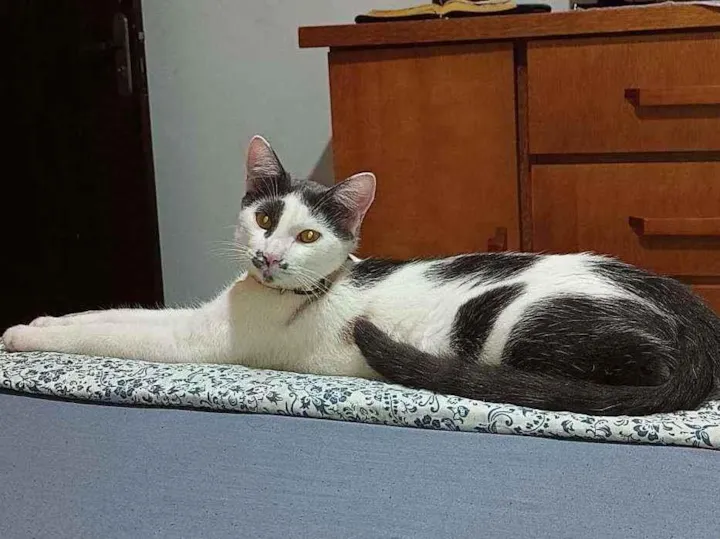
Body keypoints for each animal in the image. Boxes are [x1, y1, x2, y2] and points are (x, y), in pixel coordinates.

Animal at [4, 135, 720, 416]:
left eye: (309, 235)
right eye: (266, 217)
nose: (269, 256)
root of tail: (695, 318)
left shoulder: (198, 341)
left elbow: (117, 331)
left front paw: (25, 335)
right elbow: (111, 312)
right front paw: (45, 315)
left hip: (513, 320)